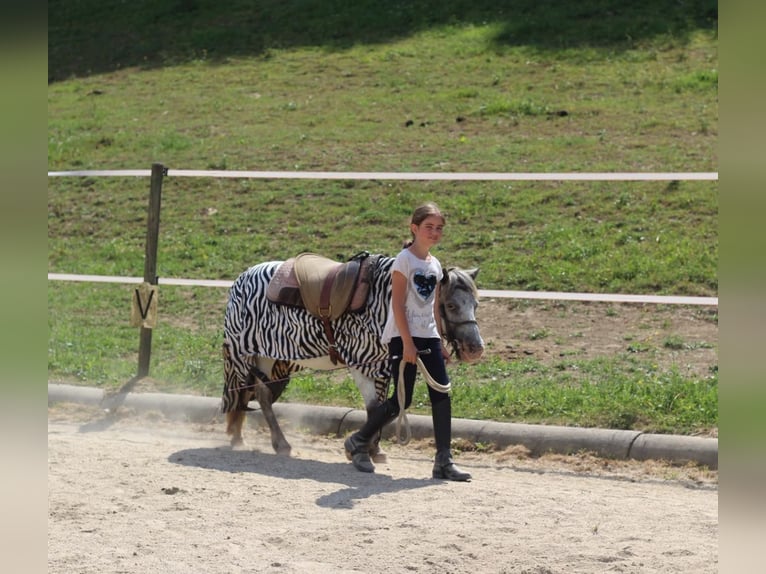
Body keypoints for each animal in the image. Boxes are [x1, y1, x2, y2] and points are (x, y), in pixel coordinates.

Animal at [220, 252, 484, 459]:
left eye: (475, 305)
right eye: (450, 305)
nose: (475, 348)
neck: (382, 305)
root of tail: (243, 278)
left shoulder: (382, 365)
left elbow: (382, 406)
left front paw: (374, 449)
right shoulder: (359, 362)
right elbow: (375, 408)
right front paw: (364, 448)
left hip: (272, 359)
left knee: (256, 394)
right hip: (253, 354)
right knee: (255, 395)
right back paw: (276, 443)